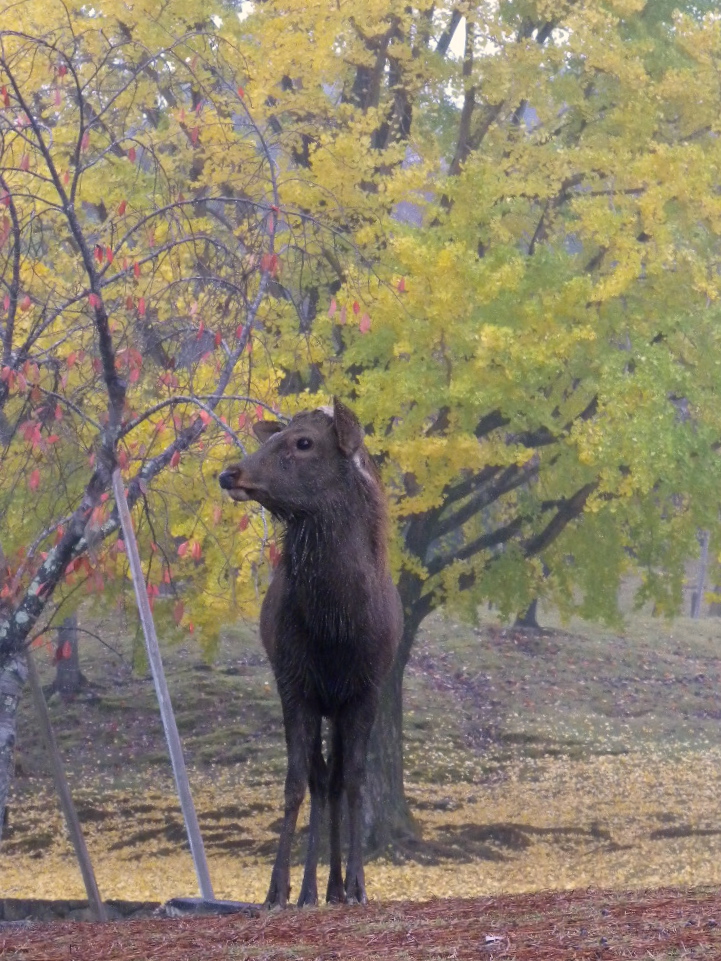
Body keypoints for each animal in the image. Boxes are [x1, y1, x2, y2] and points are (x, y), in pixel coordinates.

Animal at [217, 398, 402, 908]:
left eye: (303, 442)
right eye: (274, 436)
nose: (229, 473)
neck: (333, 627)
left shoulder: (366, 689)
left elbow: (355, 780)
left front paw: (358, 885)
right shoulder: (294, 684)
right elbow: (296, 782)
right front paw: (277, 890)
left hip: (338, 706)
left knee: (335, 779)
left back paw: (336, 886)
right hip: (318, 702)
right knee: (321, 780)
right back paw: (312, 889)